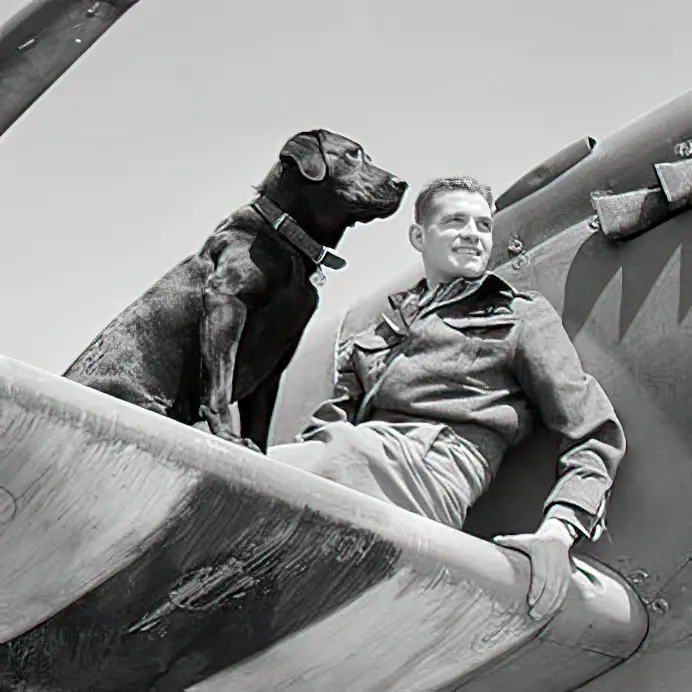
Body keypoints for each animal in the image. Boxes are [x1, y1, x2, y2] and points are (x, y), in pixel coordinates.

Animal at [63, 130, 406, 454]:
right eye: (352, 154)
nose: (402, 183)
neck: (286, 236)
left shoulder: (280, 355)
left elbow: (260, 419)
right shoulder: (225, 301)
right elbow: (220, 383)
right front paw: (229, 436)